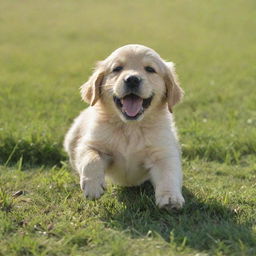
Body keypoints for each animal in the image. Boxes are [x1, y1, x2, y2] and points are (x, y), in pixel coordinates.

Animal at [63, 44, 184, 209]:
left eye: (150, 69)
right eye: (117, 68)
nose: (132, 79)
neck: (130, 128)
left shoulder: (163, 153)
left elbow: (168, 174)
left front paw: (171, 198)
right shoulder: (91, 144)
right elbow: (91, 158)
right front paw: (93, 186)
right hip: (72, 137)